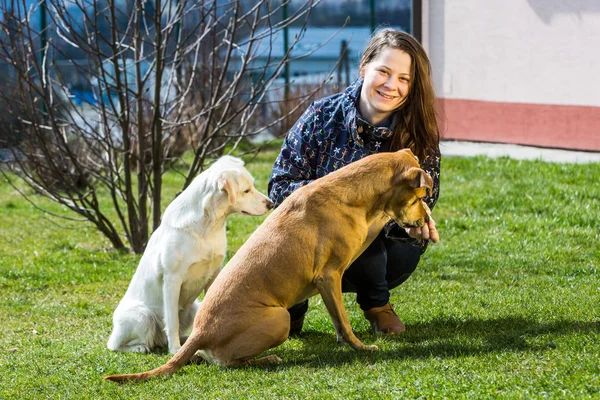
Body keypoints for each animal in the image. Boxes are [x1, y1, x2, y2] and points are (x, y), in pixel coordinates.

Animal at [108, 156, 274, 354]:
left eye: (252, 186)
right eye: (246, 190)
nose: (271, 204)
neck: (207, 226)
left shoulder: (215, 274)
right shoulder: (172, 280)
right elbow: (171, 321)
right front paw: (175, 350)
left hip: (193, 307)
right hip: (142, 316)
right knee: (118, 345)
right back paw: (142, 347)